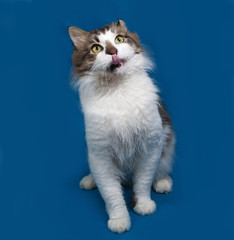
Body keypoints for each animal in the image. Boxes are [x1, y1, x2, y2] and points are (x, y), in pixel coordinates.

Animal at [67, 19, 174, 233]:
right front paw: (119, 220)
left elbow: (142, 183)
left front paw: (143, 205)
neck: (118, 89)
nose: (112, 51)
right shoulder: (100, 155)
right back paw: (89, 180)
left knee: (162, 167)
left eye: (118, 39)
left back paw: (163, 182)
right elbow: (111, 194)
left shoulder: (150, 146)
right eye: (96, 48)